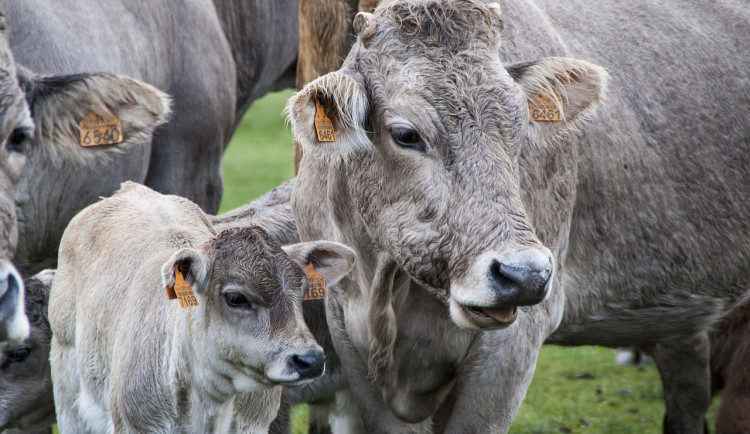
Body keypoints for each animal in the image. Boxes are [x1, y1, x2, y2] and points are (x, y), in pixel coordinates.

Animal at [288, 0, 750, 430]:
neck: (386, 286)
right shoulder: (348, 338)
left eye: (519, 127)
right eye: (406, 134)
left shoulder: (513, 345)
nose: (524, 274)